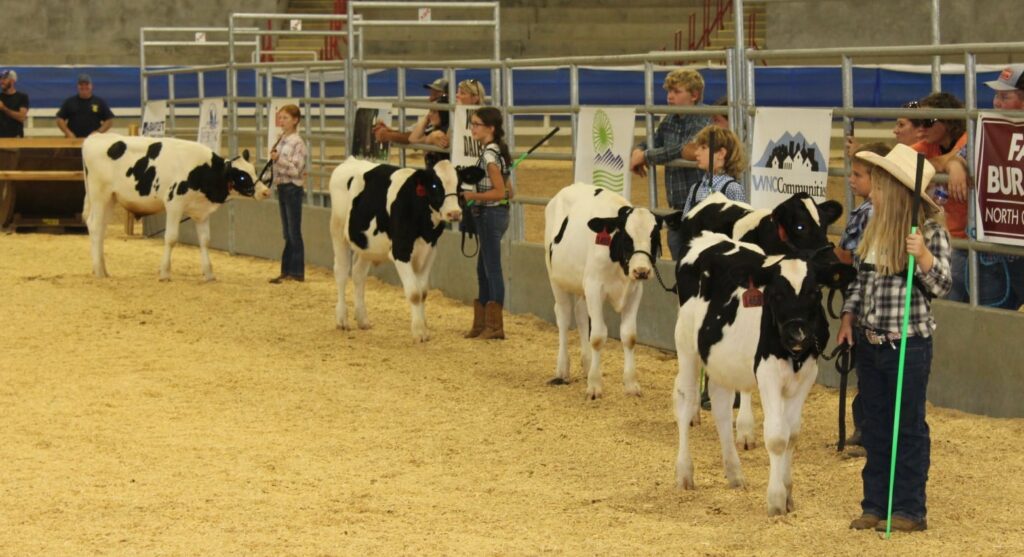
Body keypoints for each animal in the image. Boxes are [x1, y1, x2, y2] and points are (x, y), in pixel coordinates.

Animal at [81, 133, 270, 280]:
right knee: (95, 226)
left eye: (254, 170)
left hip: (111, 199)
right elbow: (171, 238)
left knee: (100, 228)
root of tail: (95, 138)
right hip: (100, 195)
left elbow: (205, 240)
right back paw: (99, 272)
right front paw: (165, 273)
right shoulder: (174, 205)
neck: (201, 171)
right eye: (242, 176)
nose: (266, 192)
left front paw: (209, 274)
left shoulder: (201, 212)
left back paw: (101, 268)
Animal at [329, 155, 485, 339]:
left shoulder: (429, 250)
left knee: (359, 274)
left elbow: (423, 292)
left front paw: (423, 326)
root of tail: (351, 160)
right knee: (341, 272)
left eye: (459, 184)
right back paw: (342, 320)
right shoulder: (400, 251)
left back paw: (363, 320)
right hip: (338, 232)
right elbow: (415, 293)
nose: (454, 213)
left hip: (367, 245)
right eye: (434, 185)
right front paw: (419, 332)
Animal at [544, 185, 671, 397]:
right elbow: (597, 337)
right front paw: (594, 386)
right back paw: (562, 370)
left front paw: (631, 384)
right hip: (556, 278)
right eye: (627, 237)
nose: (642, 270)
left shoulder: (634, 291)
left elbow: (629, 336)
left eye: (654, 236)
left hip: (582, 284)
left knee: (580, 313)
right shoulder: (595, 287)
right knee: (563, 315)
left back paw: (587, 365)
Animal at [671, 229, 839, 513]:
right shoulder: (768, 374)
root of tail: (707, 236)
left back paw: (735, 473)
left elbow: (792, 433)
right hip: (686, 345)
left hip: (721, 359)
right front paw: (776, 500)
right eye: (776, 294)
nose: (798, 334)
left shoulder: (807, 374)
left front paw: (788, 493)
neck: (792, 354)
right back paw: (684, 473)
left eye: (815, 292)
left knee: (721, 405)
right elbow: (777, 437)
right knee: (685, 399)